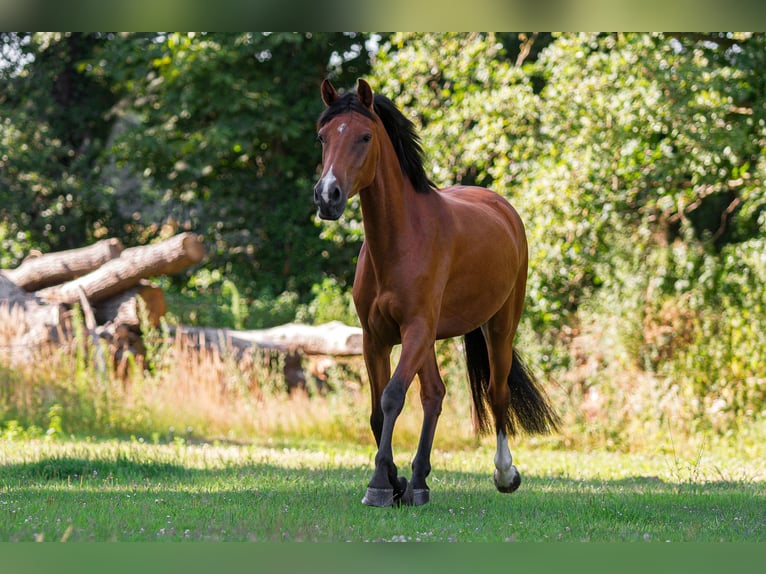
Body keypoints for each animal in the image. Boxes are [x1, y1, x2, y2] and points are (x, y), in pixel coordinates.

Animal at [316, 77, 560, 508]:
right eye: (323, 137)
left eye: (364, 136)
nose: (328, 195)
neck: (400, 240)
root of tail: (503, 209)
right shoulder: (375, 337)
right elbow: (378, 410)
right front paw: (395, 481)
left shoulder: (414, 329)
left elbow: (393, 396)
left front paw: (380, 486)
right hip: (429, 339)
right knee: (434, 394)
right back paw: (418, 482)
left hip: (499, 327)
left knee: (496, 393)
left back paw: (504, 474)